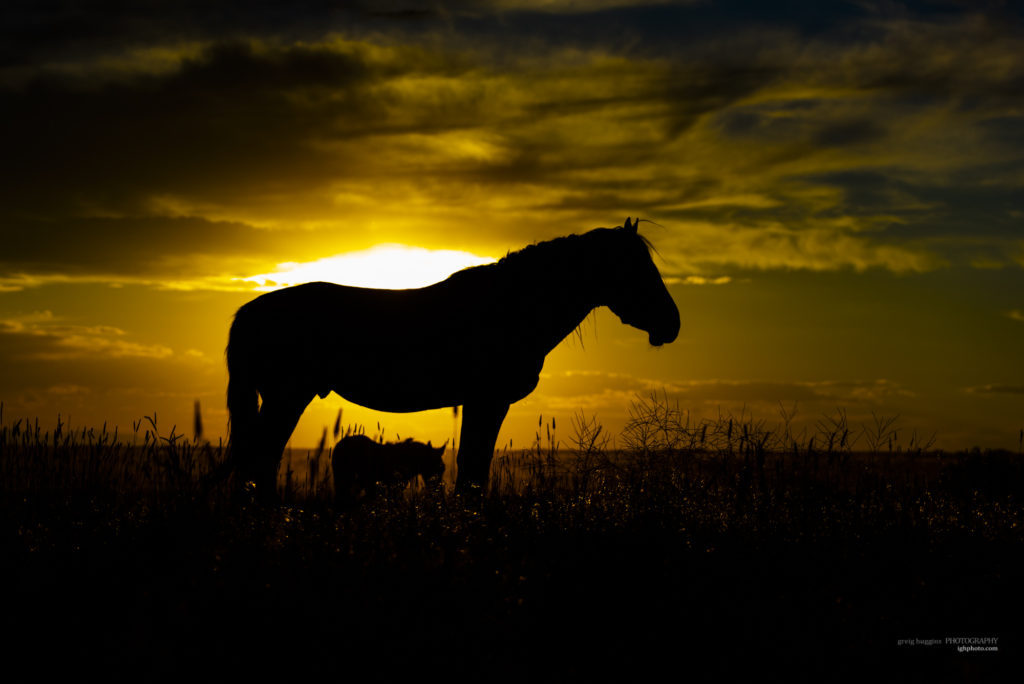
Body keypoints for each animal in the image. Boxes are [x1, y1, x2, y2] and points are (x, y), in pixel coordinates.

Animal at [226, 219, 679, 497]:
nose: (671, 324)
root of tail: (247, 313)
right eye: (634, 267)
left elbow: (474, 465)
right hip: (287, 397)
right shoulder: (486, 401)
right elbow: (473, 466)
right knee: (258, 457)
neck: (512, 306)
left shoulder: (485, 404)